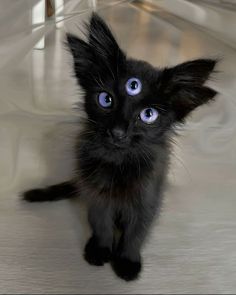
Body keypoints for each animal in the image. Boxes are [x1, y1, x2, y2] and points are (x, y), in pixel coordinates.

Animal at [23, 13, 217, 282]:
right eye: (106, 100)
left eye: (148, 115)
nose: (118, 132)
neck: (118, 163)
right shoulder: (96, 193)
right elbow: (101, 223)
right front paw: (101, 248)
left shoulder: (148, 196)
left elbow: (136, 232)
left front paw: (127, 260)